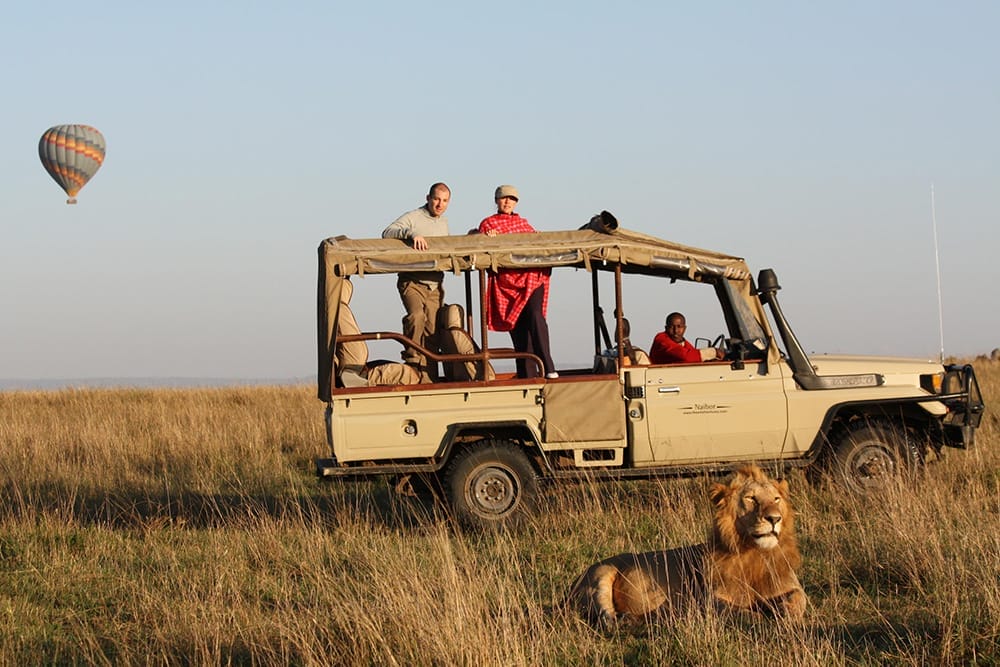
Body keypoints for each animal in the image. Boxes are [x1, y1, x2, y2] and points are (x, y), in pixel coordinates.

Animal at [568, 465, 807, 625]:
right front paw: (763, 619)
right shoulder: (710, 600)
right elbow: (740, 612)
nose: (774, 519)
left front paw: (787, 615)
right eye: (751, 499)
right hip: (601, 575)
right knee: (605, 618)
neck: (755, 553)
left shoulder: (790, 585)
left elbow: (799, 599)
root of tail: (572, 584)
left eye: (776, 499)